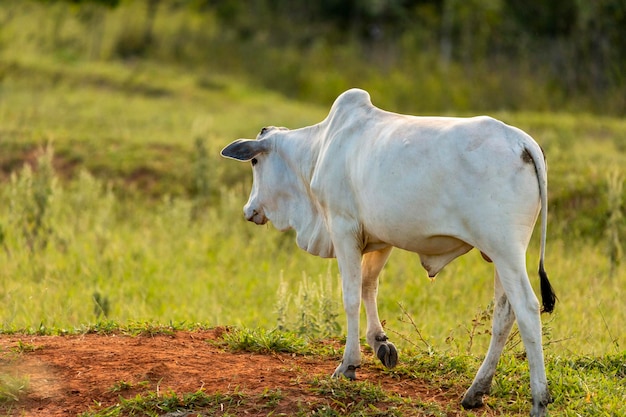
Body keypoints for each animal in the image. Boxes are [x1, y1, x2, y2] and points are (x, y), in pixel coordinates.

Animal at [221, 88, 556, 416]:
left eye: (254, 163)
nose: (249, 210)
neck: (318, 150)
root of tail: (521, 141)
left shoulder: (343, 229)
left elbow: (351, 297)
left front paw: (348, 364)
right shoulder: (379, 239)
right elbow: (369, 286)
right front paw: (380, 343)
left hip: (505, 250)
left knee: (527, 309)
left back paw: (539, 400)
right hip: (500, 256)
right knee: (504, 313)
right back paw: (476, 391)